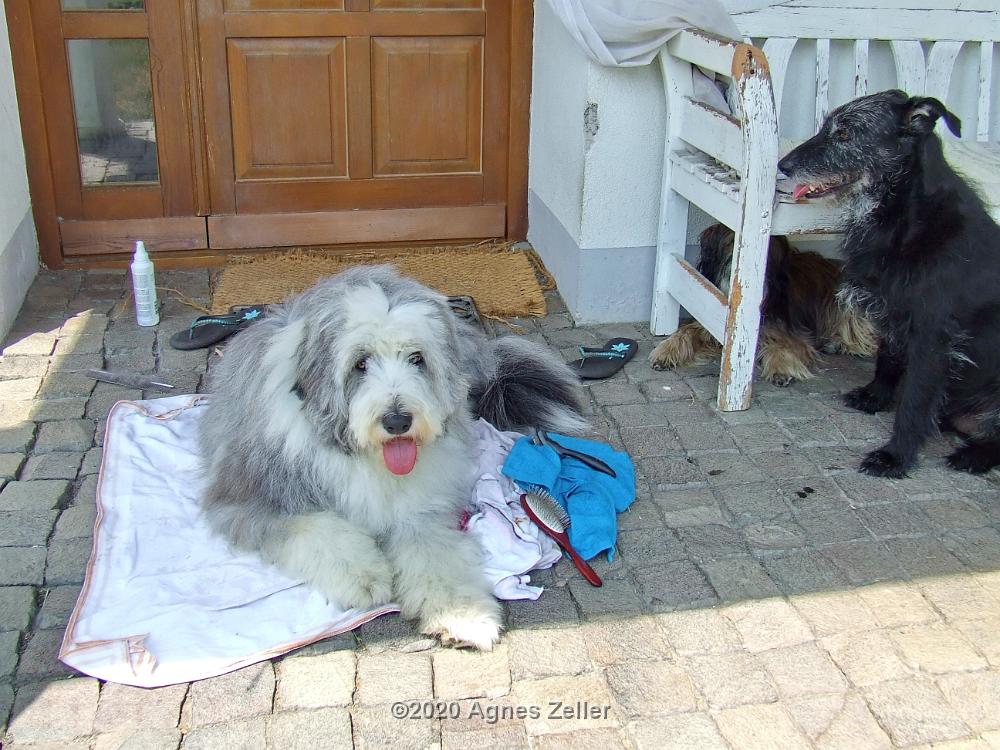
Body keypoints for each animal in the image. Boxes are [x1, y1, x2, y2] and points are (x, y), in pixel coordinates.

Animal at [197, 268, 584, 648]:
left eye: (416, 358)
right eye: (360, 363)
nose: (397, 421)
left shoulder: (420, 506)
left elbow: (433, 552)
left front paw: (462, 615)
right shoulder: (249, 500)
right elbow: (317, 528)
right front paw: (365, 575)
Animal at [648, 225, 876, 388]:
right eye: (731, 243)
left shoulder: (791, 333)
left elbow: (782, 346)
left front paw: (781, 369)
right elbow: (685, 332)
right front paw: (666, 351)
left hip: (845, 303)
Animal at [780, 88, 1000, 476]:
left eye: (845, 134)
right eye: (825, 127)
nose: (782, 166)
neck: (908, 215)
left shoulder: (932, 336)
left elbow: (914, 401)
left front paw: (895, 455)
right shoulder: (892, 311)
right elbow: (887, 357)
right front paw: (875, 396)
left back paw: (973, 455)